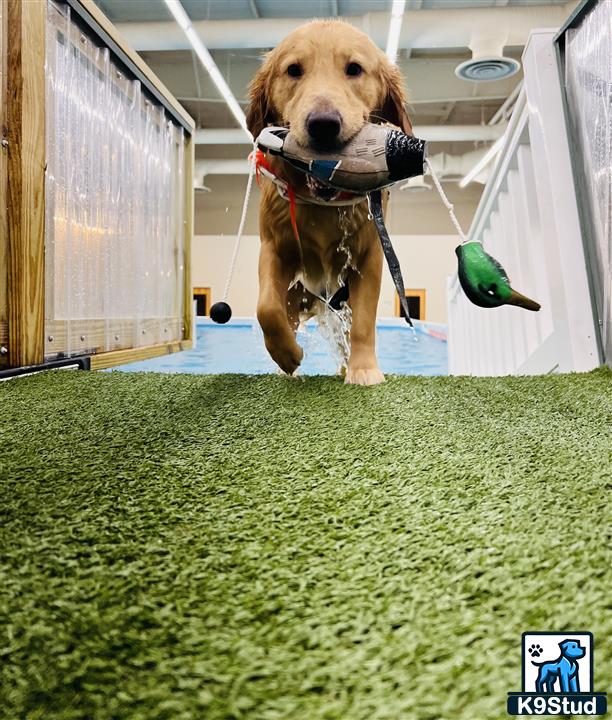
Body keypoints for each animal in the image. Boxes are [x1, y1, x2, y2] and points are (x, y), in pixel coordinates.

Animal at [245, 19, 412, 386]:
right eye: (293, 70)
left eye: (354, 69)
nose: (323, 125)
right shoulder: (273, 248)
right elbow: (266, 308)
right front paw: (287, 355)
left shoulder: (369, 256)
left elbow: (363, 323)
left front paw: (363, 370)